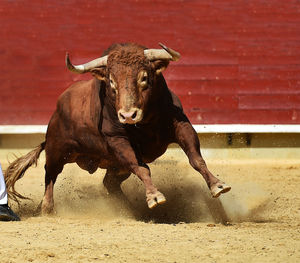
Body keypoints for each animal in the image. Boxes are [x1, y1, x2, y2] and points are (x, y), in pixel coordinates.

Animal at [4, 42, 231, 214]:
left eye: (144, 78)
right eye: (111, 82)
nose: (128, 115)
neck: (145, 122)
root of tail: (57, 110)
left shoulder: (181, 125)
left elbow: (196, 159)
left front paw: (218, 185)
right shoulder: (117, 140)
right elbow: (142, 168)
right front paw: (154, 196)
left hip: (115, 166)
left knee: (110, 184)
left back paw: (127, 207)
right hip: (57, 150)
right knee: (50, 175)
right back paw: (47, 208)